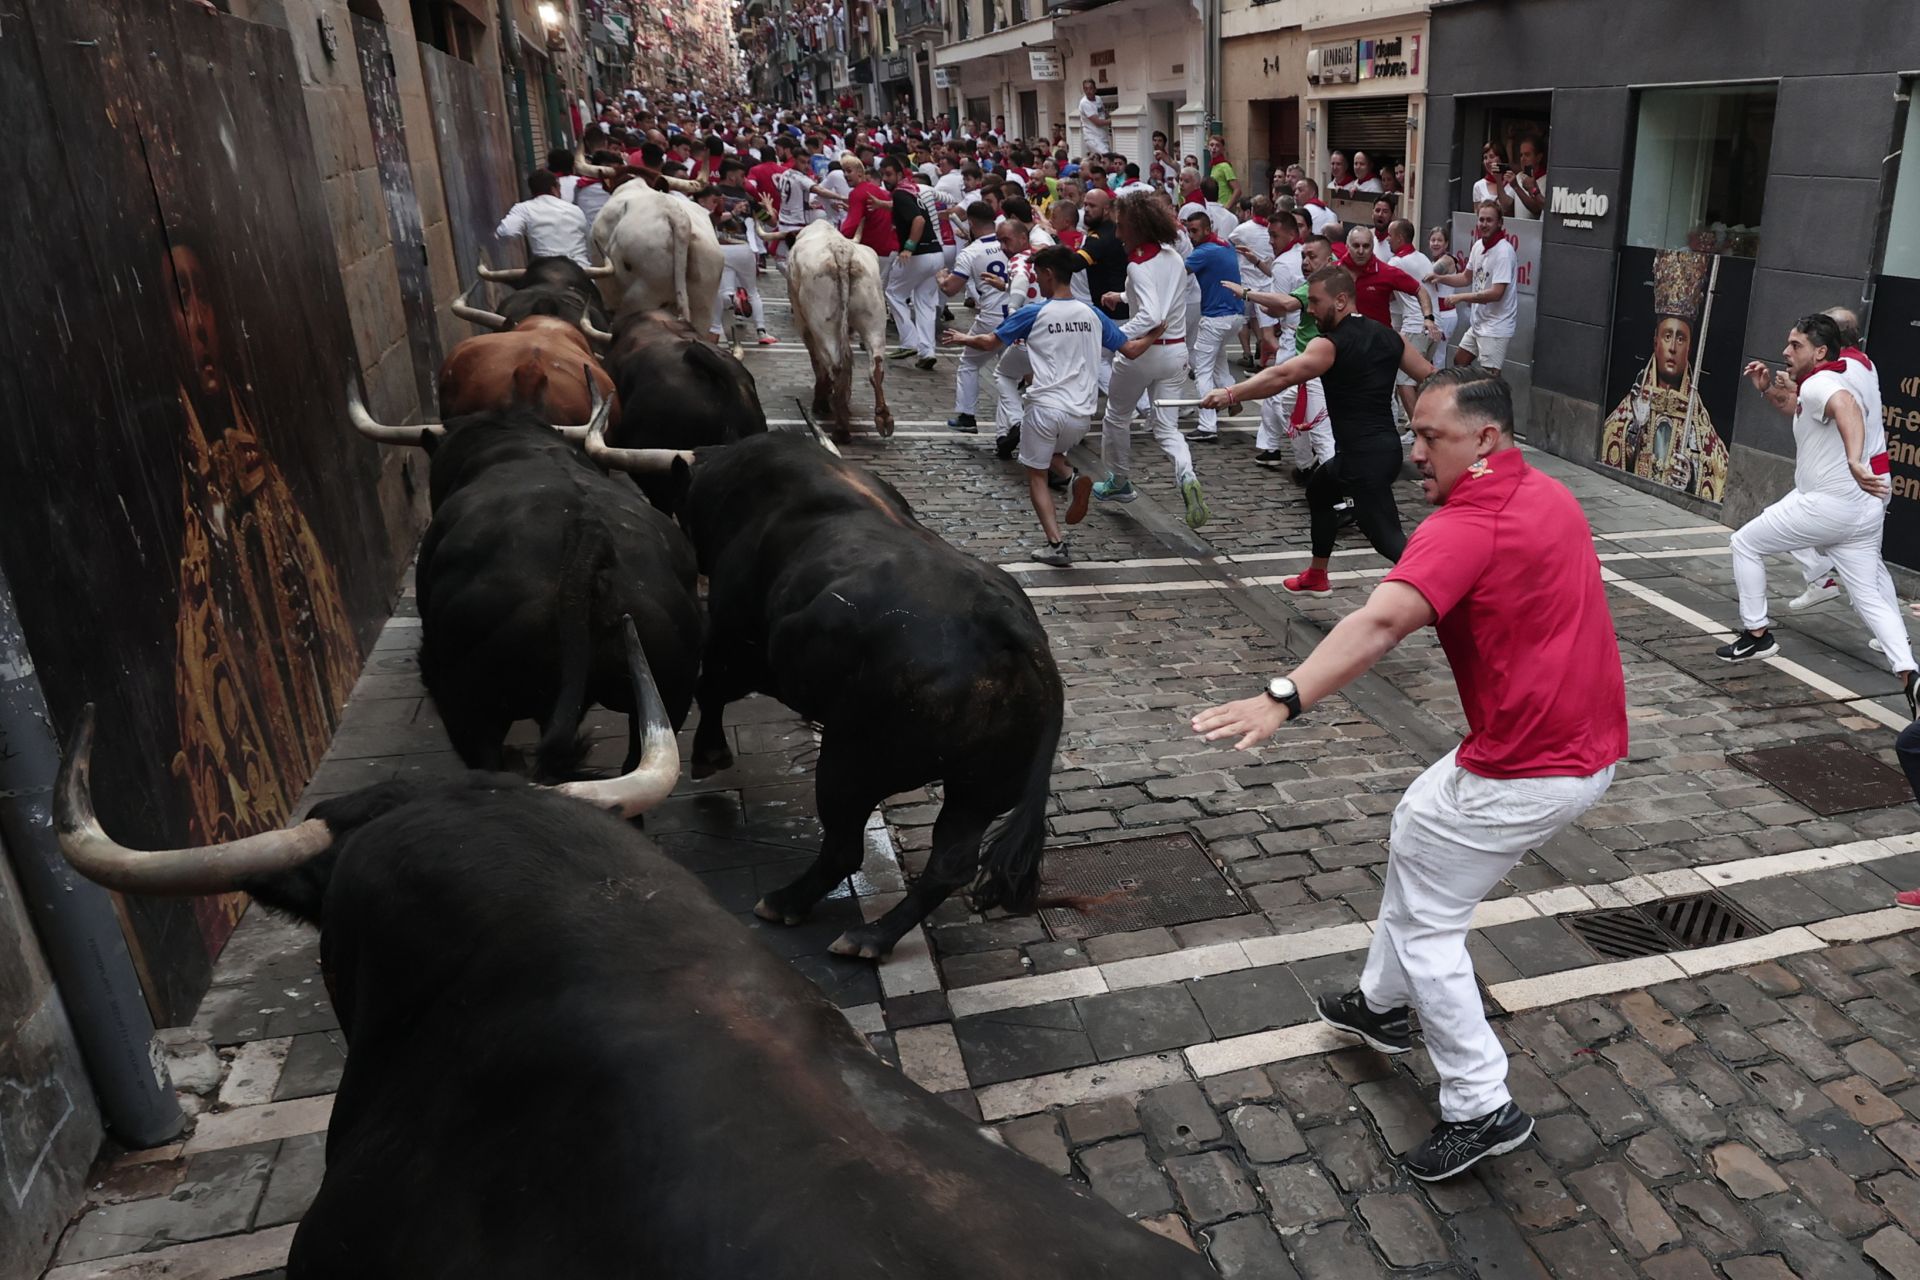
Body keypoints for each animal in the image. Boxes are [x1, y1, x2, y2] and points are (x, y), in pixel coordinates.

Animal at [679, 433, 1067, 959]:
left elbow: (709, 690)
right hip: (978, 790)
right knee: (949, 863)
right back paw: (873, 936)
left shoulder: (733, 646)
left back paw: (788, 904)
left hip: (851, 762)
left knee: (844, 846)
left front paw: (708, 754)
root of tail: (1008, 627)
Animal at [783, 227, 894, 449]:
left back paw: (840, 426)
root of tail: (841, 251)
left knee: (835, 364)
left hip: (822, 323)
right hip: (874, 317)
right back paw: (882, 418)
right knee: (876, 365)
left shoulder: (803, 323)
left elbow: (817, 360)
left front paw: (823, 398)